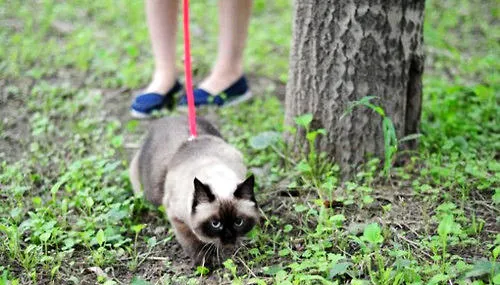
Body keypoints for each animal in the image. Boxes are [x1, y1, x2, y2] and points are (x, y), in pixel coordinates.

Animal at [130, 116, 258, 266]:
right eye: (215, 224)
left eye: (239, 222)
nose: (229, 239)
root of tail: (166, 118)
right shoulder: (176, 218)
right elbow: (192, 240)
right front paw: (206, 260)